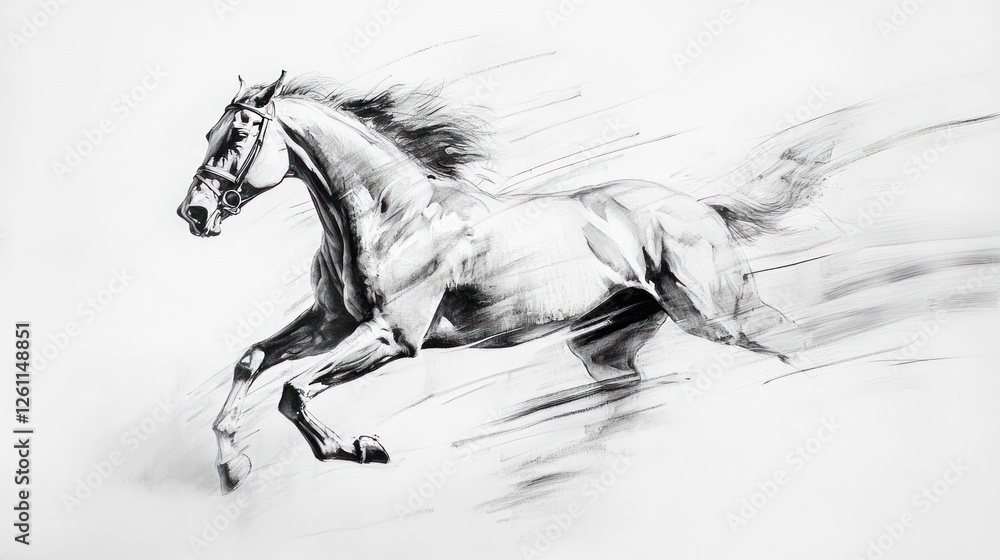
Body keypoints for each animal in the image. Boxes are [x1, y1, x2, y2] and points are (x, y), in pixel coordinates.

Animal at [177, 71, 804, 493]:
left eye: (237, 136)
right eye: (208, 133)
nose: (195, 213)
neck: (391, 217)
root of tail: (703, 208)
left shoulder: (392, 336)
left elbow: (293, 390)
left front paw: (358, 448)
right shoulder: (332, 323)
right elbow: (254, 359)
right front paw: (232, 468)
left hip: (719, 314)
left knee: (786, 339)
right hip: (606, 345)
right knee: (625, 397)